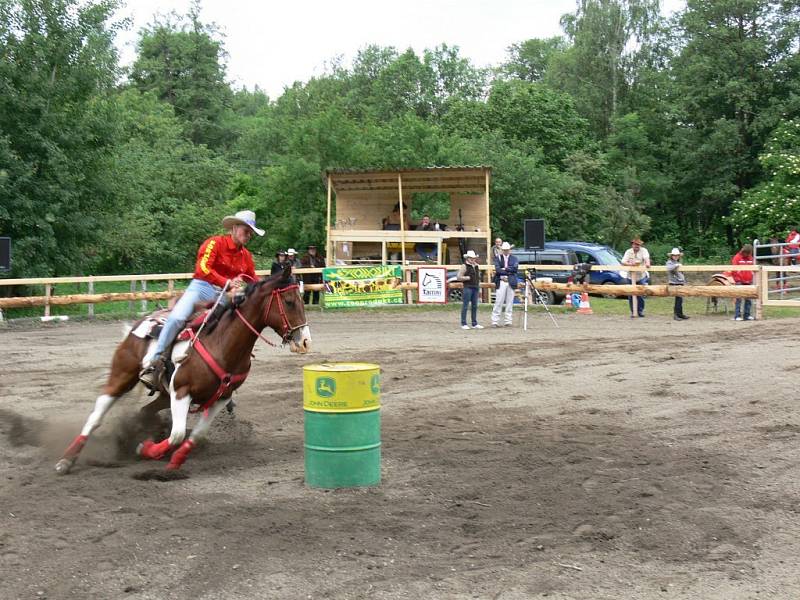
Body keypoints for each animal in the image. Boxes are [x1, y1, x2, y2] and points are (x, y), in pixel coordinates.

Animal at [54, 268, 310, 474]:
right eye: (289, 301)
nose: (305, 341)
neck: (222, 344)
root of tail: (142, 322)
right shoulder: (181, 392)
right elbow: (177, 434)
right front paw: (146, 448)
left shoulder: (220, 397)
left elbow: (196, 435)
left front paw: (173, 460)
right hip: (122, 376)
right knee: (96, 415)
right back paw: (66, 460)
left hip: (163, 394)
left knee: (145, 412)